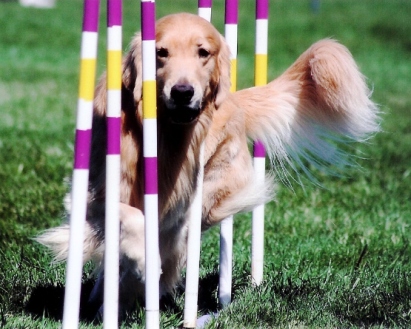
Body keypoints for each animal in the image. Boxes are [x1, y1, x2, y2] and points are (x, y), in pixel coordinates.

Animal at [36, 12, 380, 318]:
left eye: (203, 53)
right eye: (160, 52)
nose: (182, 92)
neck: (166, 135)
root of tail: (236, 100)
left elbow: (155, 237)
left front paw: (141, 273)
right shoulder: (94, 193)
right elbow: (131, 220)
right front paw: (138, 264)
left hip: (217, 185)